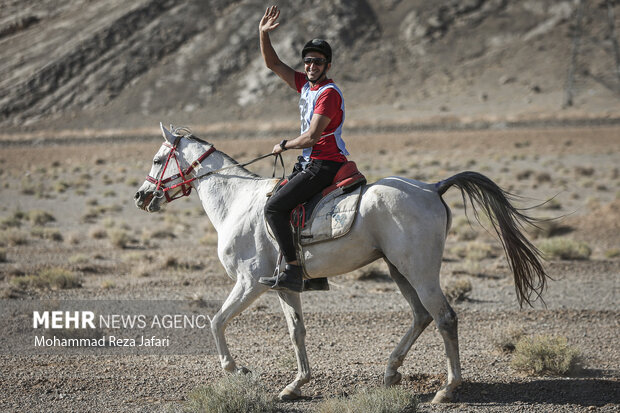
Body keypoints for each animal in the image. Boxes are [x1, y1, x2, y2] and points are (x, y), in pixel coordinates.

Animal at [134, 123, 548, 402]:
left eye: (157, 159)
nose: (141, 196)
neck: (237, 201)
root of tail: (432, 187)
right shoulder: (283, 285)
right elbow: (296, 331)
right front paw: (295, 385)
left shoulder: (248, 282)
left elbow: (216, 321)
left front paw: (238, 370)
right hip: (398, 270)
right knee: (421, 316)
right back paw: (391, 371)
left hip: (419, 271)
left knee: (444, 317)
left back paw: (447, 389)